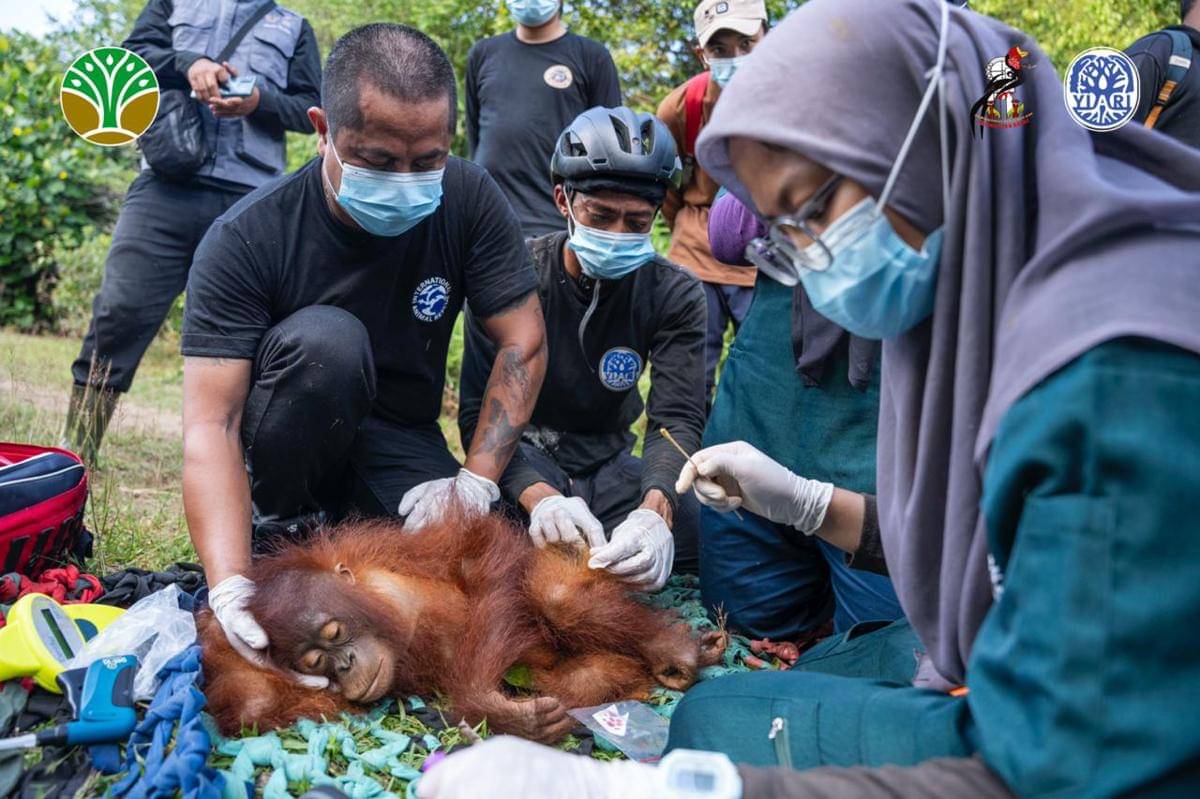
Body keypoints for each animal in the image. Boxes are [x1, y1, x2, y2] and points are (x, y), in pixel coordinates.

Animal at [199, 512, 726, 743]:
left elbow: (481, 558)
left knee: (556, 598)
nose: (344, 664)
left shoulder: (387, 553)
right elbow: (252, 702)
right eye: (315, 663)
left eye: (335, 634)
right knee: (582, 678)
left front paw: (490, 705)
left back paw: (674, 651)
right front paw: (515, 719)